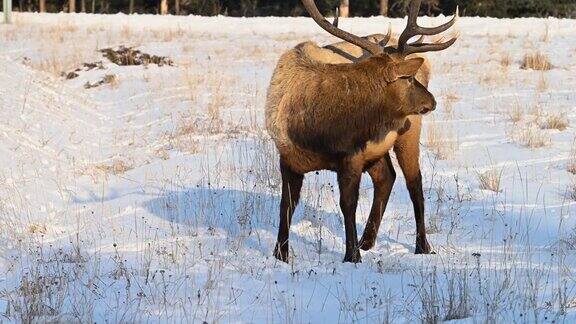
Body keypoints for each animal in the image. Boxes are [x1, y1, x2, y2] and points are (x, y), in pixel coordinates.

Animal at [266, 0, 460, 264]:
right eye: (408, 78)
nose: (432, 101)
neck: (314, 132)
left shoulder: (351, 156)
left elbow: (348, 204)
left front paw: (352, 256)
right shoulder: (287, 156)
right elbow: (286, 205)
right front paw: (280, 254)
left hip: (408, 131)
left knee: (414, 182)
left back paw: (422, 245)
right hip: (377, 149)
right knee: (387, 176)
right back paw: (367, 241)